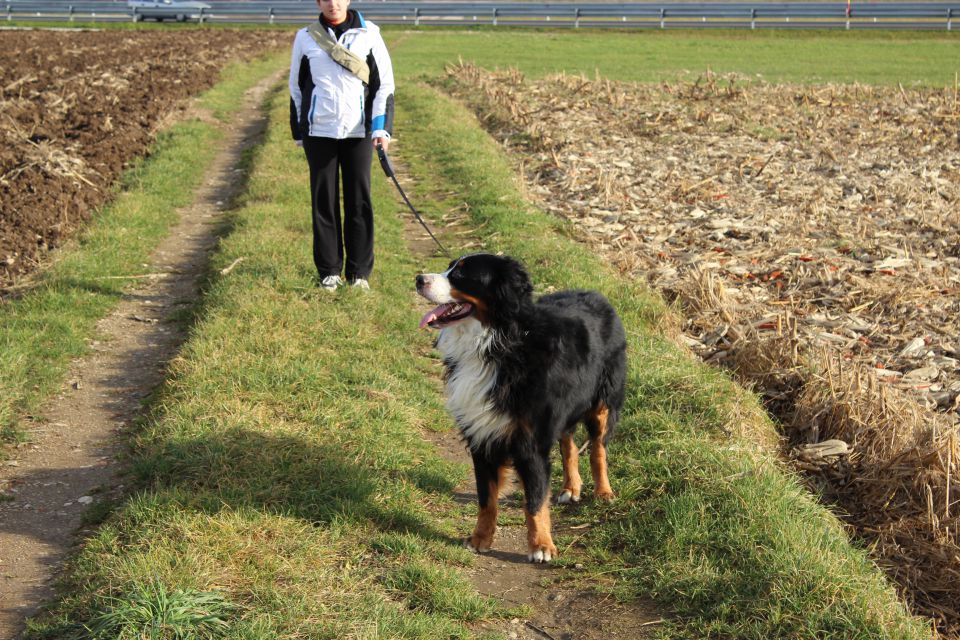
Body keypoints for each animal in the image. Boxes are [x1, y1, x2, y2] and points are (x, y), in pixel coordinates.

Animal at [414, 252, 628, 564]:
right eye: (450, 266)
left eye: (461, 273)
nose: (419, 279)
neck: (498, 343)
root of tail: (599, 296)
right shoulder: (482, 434)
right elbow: (486, 498)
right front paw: (480, 538)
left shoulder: (531, 441)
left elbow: (535, 500)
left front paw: (541, 545)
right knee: (569, 445)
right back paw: (571, 487)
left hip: (603, 402)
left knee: (598, 448)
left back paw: (603, 491)